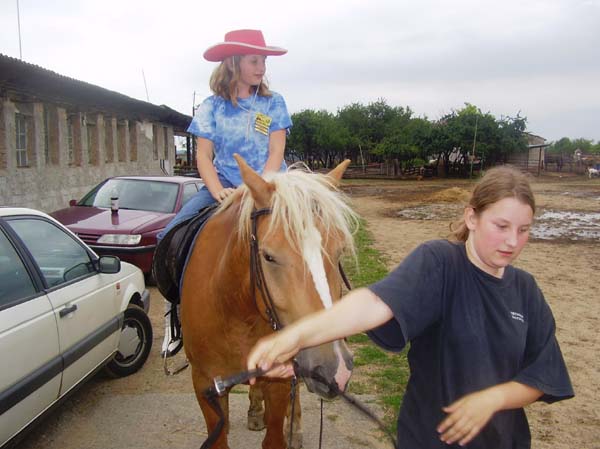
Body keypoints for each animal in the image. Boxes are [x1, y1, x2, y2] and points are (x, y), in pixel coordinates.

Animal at [180, 155, 358, 448]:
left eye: (339, 251)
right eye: (268, 256)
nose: (334, 370)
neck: (237, 312)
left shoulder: (280, 381)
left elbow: (276, 434)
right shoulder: (205, 385)